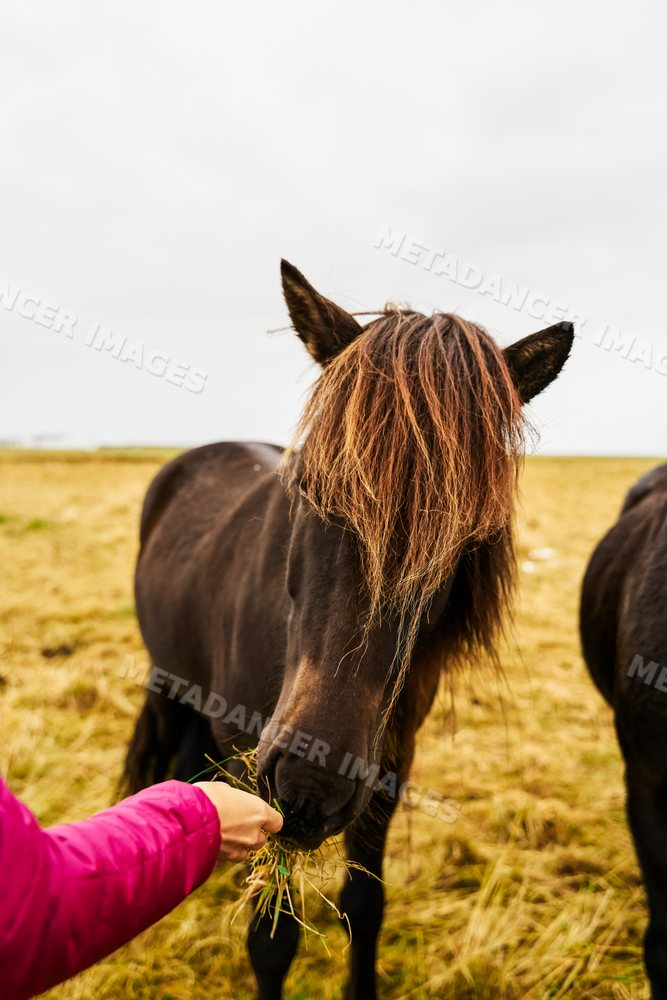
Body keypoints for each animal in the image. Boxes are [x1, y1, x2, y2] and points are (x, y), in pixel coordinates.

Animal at [124, 259, 574, 1000]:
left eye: (463, 530)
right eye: (310, 486)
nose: (312, 784)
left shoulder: (388, 768)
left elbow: (365, 906)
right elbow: (272, 938)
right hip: (168, 679)